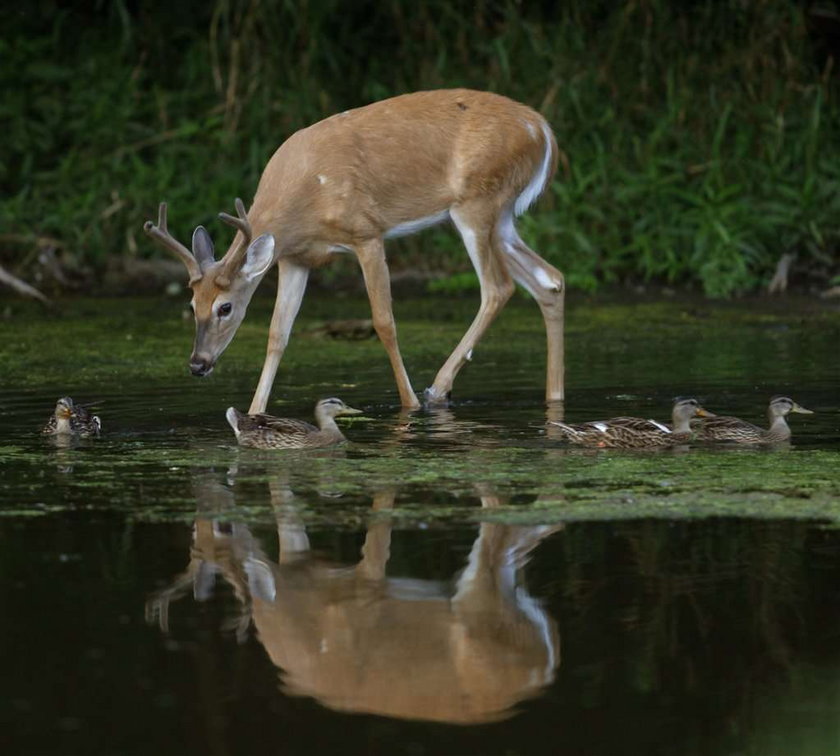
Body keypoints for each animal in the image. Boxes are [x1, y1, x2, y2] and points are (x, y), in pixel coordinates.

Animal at [144, 88, 564, 414]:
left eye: (225, 307)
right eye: (191, 305)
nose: (198, 364)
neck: (304, 201)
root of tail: (543, 130)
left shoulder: (367, 233)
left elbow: (383, 321)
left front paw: (409, 403)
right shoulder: (296, 258)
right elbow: (278, 334)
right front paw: (254, 412)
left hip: (477, 203)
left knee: (498, 287)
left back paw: (436, 389)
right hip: (502, 216)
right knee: (550, 280)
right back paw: (554, 396)